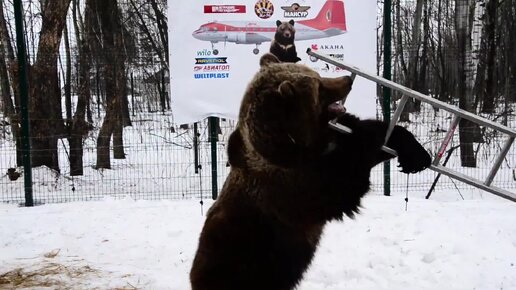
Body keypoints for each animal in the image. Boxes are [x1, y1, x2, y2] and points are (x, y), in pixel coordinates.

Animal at [189, 52, 432, 290]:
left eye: (316, 74)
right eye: (319, 86)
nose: (346, 79)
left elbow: (373, 132)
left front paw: (415, 155)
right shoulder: (294, 185)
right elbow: (345, 177)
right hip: (244, 262)